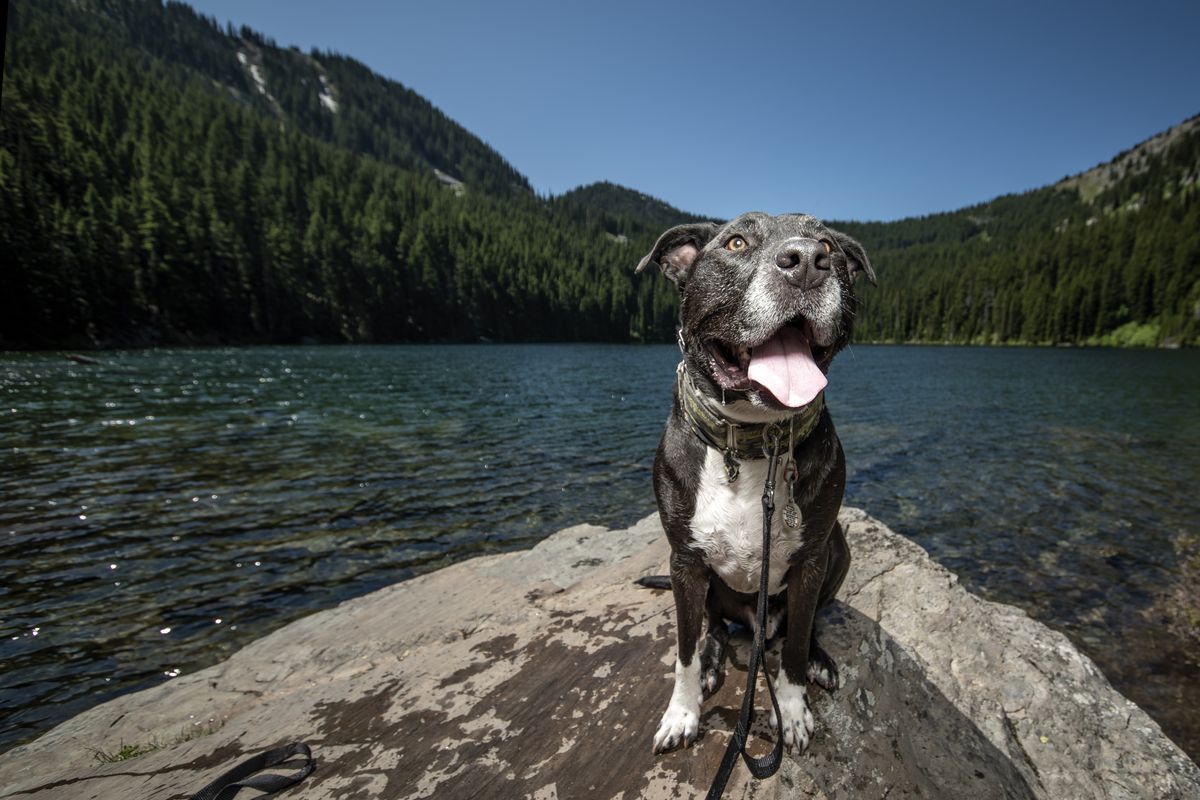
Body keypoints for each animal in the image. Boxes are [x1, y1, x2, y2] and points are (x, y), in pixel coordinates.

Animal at [638, 211, 873, 758]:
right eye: (737, 243)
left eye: (828, 243)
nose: (807, 260)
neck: (752, 443)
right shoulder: (684, 562)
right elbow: (682, 652)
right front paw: (682, 715)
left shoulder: (811, 563)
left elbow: (795, 646)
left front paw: (793, 709)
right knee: (715, 627)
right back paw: (715, 658)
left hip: (839, 550)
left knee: (802, 626)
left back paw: (817, 658)